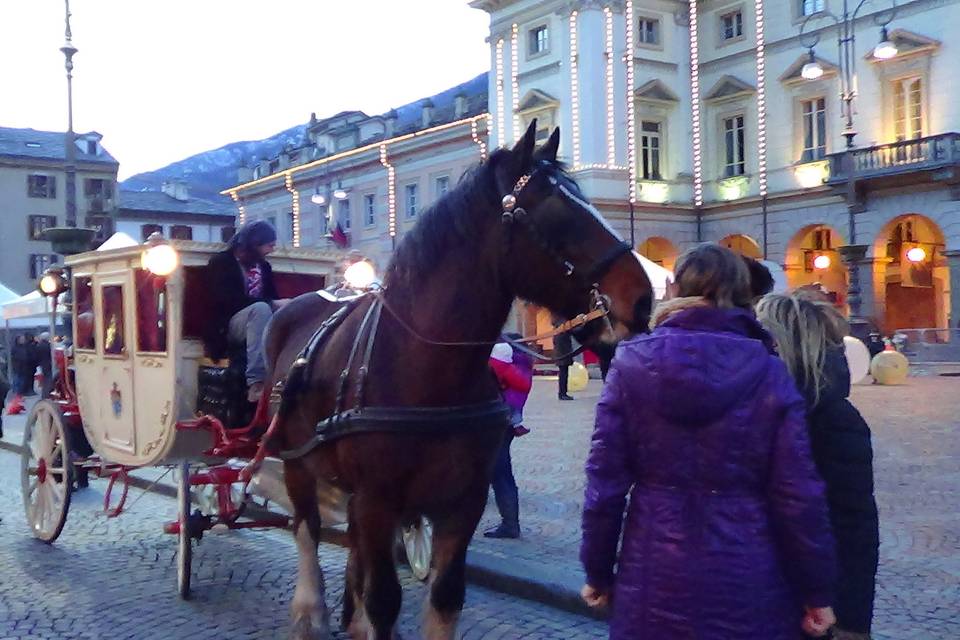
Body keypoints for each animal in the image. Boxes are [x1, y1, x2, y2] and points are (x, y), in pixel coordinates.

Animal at [262, 122, 652, 636]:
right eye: (558, 215)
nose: (643, 298)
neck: (427, 368)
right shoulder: (376, 499)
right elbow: (383, 598)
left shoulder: (462, 501)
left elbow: (445, 595)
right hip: (296, 460)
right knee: (306, 528)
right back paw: (310, 611)